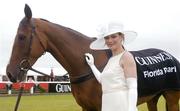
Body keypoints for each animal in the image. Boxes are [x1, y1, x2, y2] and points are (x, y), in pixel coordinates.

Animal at [5, 4, 180, 110]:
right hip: (152, 98)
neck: (83, 66)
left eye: (21, 37)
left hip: (172, 97)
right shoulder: (86, 107)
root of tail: (171, 56)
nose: (10, 73)